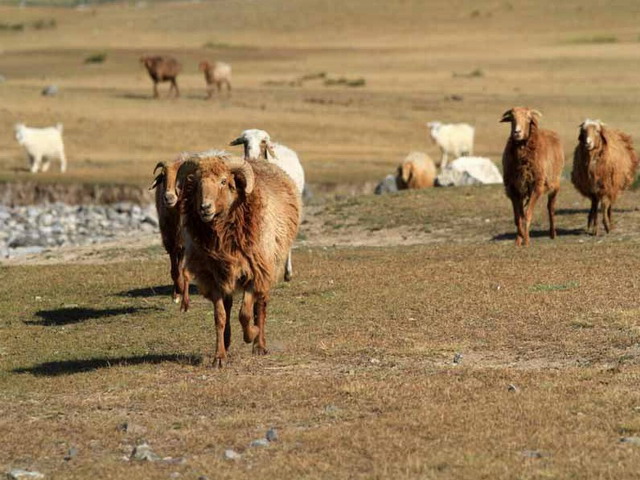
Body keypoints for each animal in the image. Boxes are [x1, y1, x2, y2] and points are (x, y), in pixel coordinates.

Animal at [179, 154, 302, 368]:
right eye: (197, 183)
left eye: (223, 181)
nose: (205, 208)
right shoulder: (213, 278)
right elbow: (220, 317)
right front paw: (219, 357)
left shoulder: (254, 273)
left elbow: (245, 313)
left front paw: (251, 334)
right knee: (229, 307)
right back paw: (227, 342)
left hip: (267, 267)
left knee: (260, 307)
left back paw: (259, 344)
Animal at [500, 106, 564, 246]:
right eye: (512, 118)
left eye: (528, 118)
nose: (517, 132)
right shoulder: (514, 189)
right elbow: (518, 217)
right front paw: (519, 239)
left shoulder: (536, 186)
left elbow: (528, 214)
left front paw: (526, 240)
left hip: (555, 184)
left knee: (551, 208)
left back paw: (553, 233)